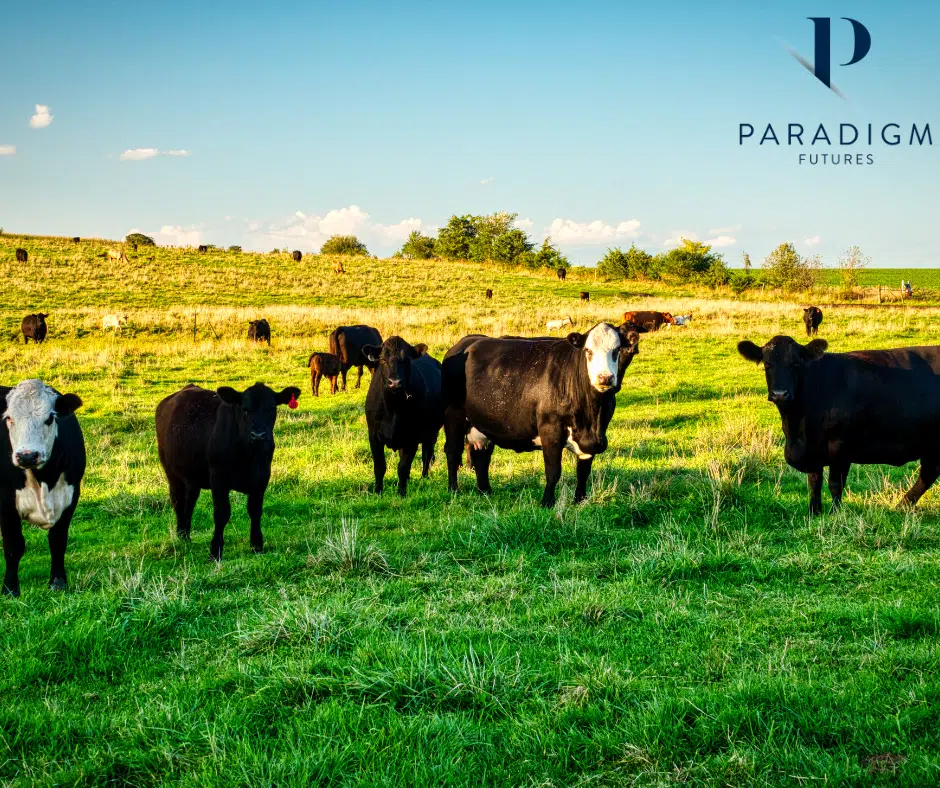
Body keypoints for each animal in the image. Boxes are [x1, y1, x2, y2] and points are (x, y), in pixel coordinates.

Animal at [0, 380, 85, 595]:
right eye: (9, 418)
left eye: (50, 418)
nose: (27, 456)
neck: (44, 480)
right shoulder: (5, 501)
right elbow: (13, 546)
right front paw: (10, 589)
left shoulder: (71, 496)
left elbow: (58, 540)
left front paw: (58, 582)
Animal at [155, 382, 301, 560]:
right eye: (245, 409)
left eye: (271, 409)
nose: (258, 435)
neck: (249, 455)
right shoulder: (219, 479)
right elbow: (221, 514)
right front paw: (215, 550)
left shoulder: (261, 478)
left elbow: (255, 511)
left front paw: (257, 545)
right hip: (172, 472)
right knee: (177, 500)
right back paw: (181, 534)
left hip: (192, 476)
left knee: (190, 501)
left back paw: (185, 536)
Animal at [363, 337, 442, 496]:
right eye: (382, 359)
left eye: (406, 360)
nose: (395, 382)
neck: (392, 408)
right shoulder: (373, 435)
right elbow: (379, 466)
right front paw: (378, 491)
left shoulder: (412, 437)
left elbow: (403, 467)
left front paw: (401, 493)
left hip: (432, 433)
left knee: (427, 455)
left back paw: (424, 478)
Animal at [443, 323, 640, 507]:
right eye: (588, 351)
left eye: (616, 350)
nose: (605, 378)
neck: (591, 417)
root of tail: (465, 343)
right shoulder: (550, 430)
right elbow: (553, 471)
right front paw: (547, 502)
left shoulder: (593, 438)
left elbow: (583, 472)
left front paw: (580, 501)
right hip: (453, 417)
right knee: (453, 452)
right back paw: (453, 490)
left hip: (483, 423)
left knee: (482, 456)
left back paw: (485, 491)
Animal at [738, 335, 940, 514]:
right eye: (767, 364)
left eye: (795, 363)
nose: (780, 394)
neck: (797, 427)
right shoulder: (813, 450)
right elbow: (814, 482)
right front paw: (814, 512)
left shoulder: (840, 447)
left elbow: (835, 484)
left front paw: (835, 513)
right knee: (928, 474)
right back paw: (902, 506)